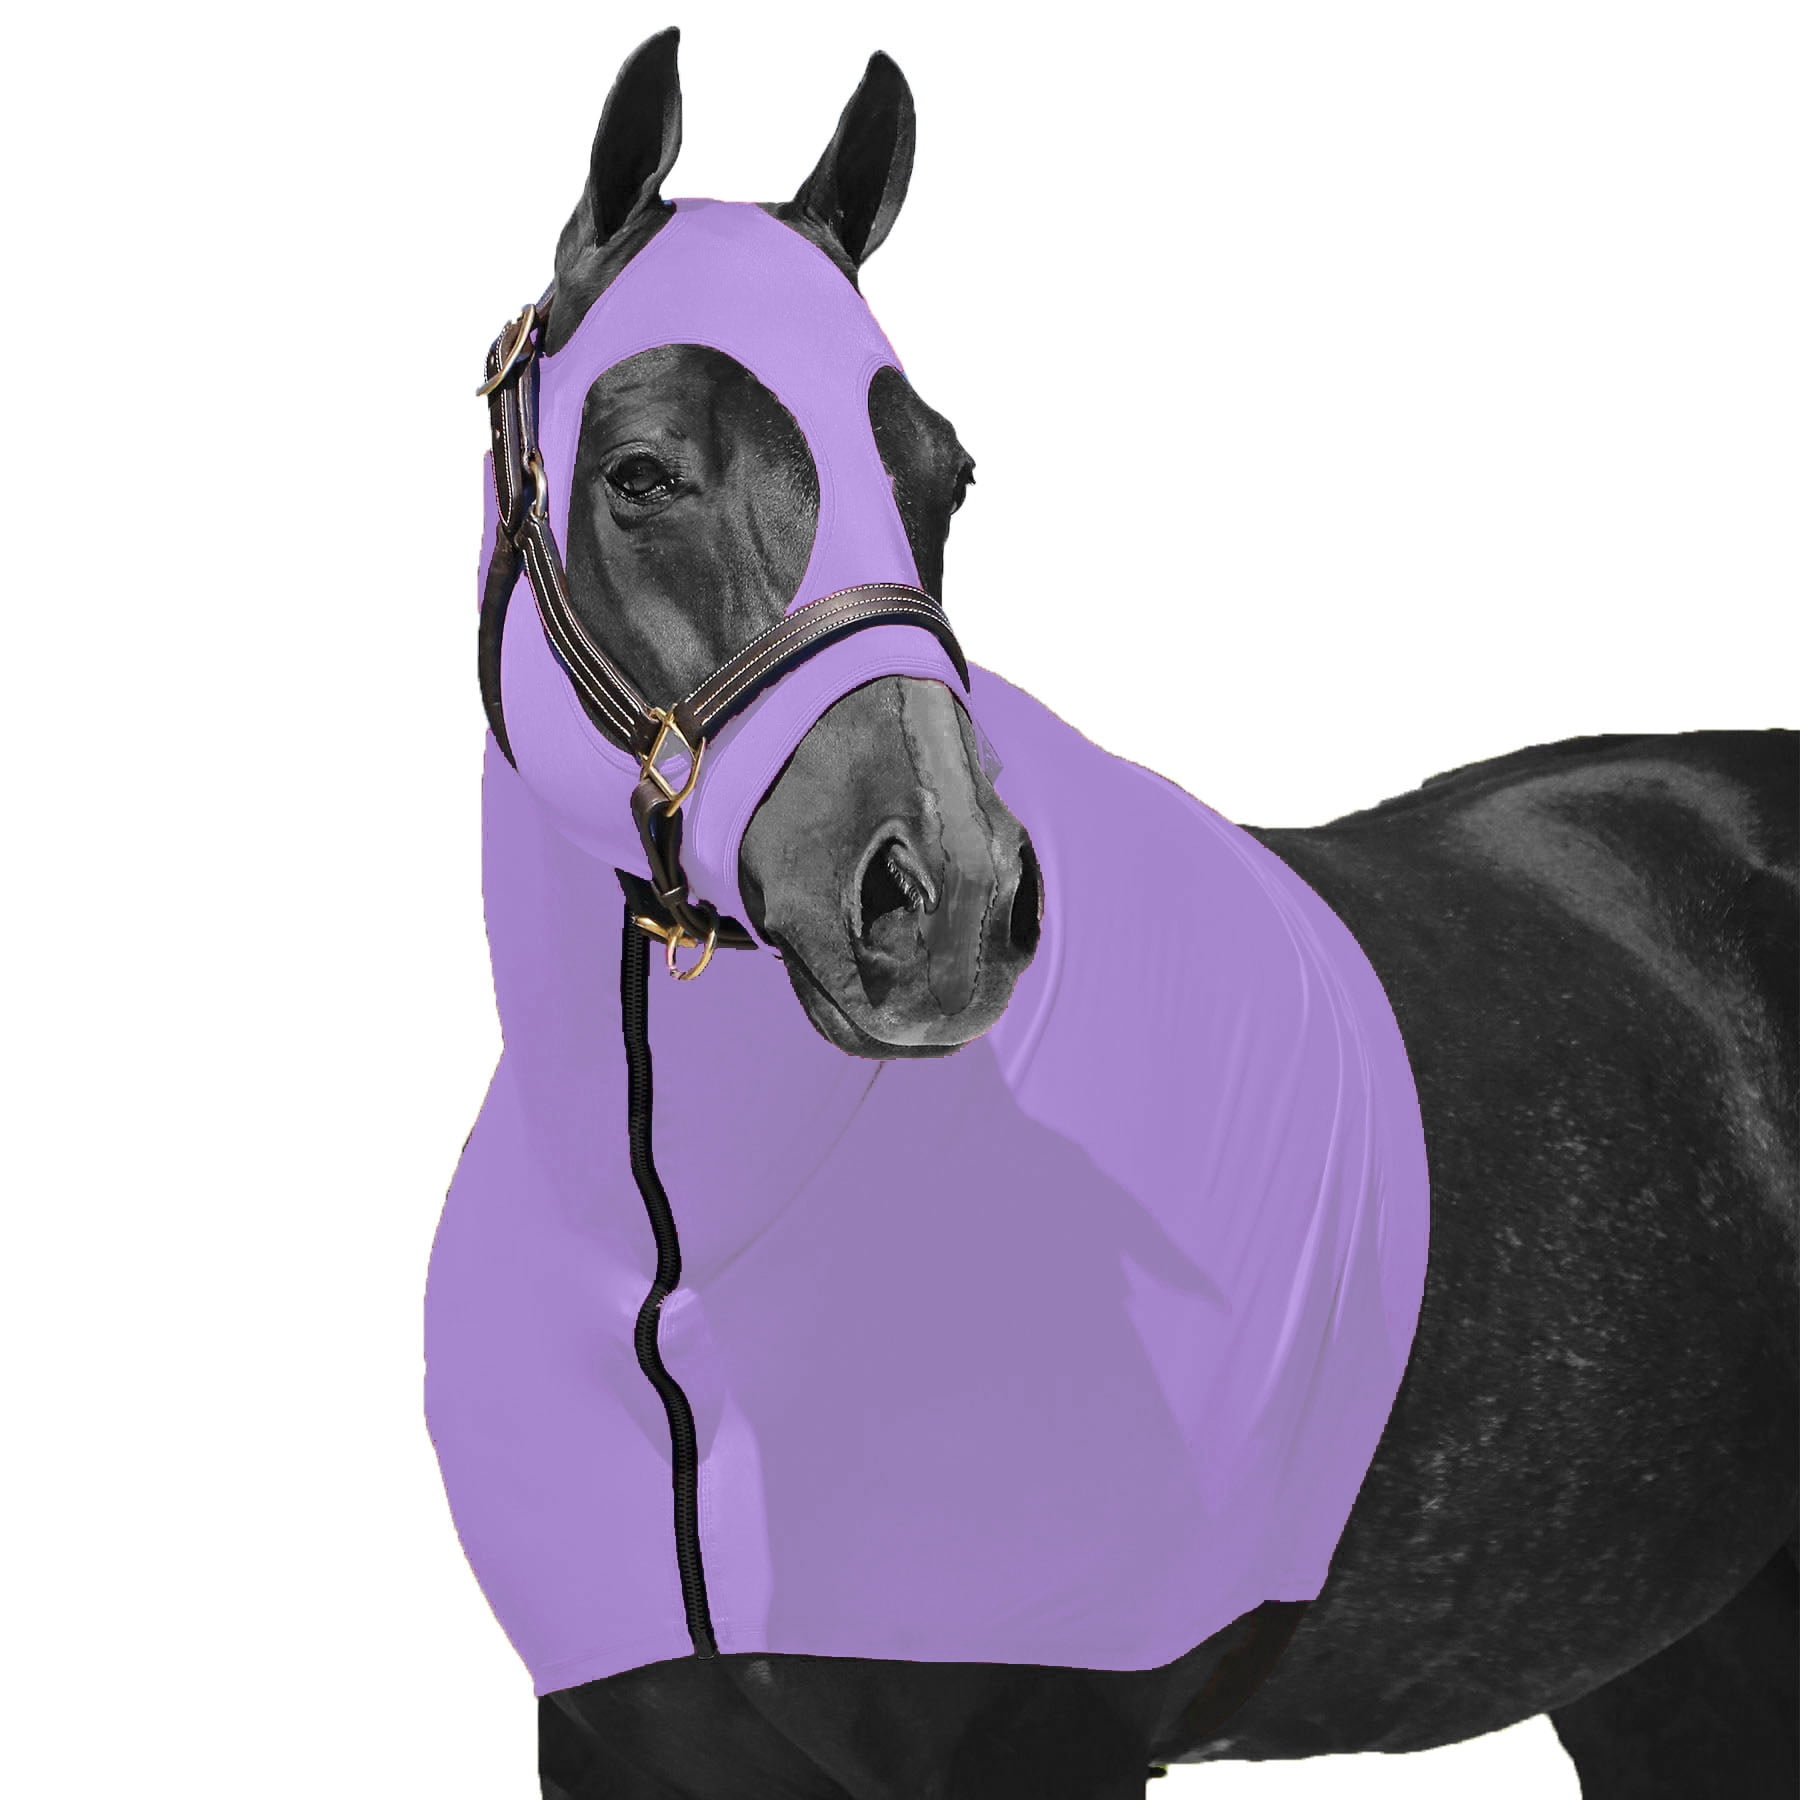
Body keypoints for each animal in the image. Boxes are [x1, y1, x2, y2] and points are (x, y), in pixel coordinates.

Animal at [442, 30, 1797, 1798]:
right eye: (641, 473)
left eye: (942, 475)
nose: (945, 900)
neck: (691, 1275)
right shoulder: (620, 1747)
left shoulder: (1047, 1740)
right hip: (1679, 1663)